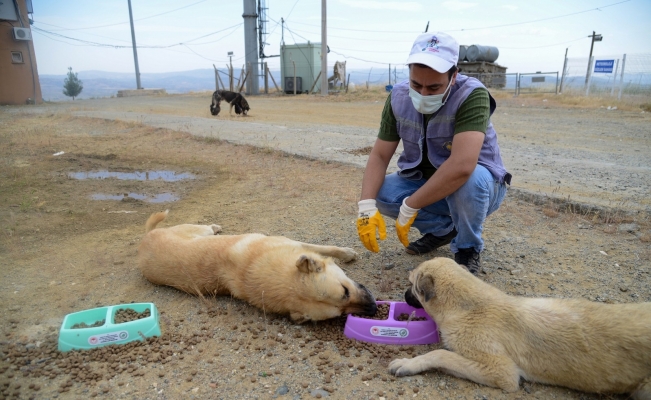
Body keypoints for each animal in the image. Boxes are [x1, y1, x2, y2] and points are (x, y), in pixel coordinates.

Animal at [140, 211, 380, 324]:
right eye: (340, 312)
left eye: (345, 290)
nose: (374, 309)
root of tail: (145, 238)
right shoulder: (294, 244)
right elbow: (325, 248)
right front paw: (347, 253)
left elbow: (325, 249)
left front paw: (346, 254)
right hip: (197, 230)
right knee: (206, 227)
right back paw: (215, 226)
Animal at [390, 258, 648, 398]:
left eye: (411, 284)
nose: (403, 295)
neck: (469, 306)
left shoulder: (502, 372)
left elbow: (441, 354)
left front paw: (408, 363)